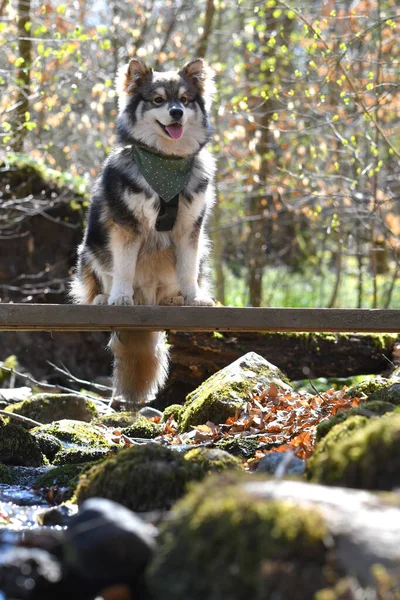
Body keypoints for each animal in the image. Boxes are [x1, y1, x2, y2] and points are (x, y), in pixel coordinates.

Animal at [70, 58, 217, 406]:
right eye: (158, 100)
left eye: (185, 100)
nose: (176, 112)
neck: (165, 162)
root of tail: (148, 297)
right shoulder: (126, 226)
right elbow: (123, 267)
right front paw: (120, 298)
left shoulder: (191, 227)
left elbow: (188, 269)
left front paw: (193, 298)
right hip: (90, 248)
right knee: (97, 283)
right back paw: (104, 298)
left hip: (203, 248)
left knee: (171, 288)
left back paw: (174, 300)